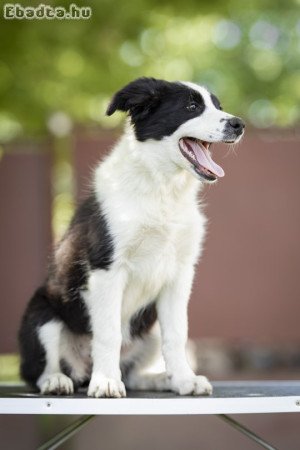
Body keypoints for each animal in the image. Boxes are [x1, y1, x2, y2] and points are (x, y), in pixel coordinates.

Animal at [18, 77, 244, 398]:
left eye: (218, 106)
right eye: (191, 106)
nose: (239, 124)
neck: (162, 190)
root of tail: (83, 371)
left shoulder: (180, 274)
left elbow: (177, 335)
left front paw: (185, 380)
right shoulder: (107, 270)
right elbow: (108, 333)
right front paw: (106, 382)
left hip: (149, 330)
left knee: (135, 372)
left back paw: (161, 379)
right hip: (42, 314)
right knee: (37, 369)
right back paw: (58, 380)